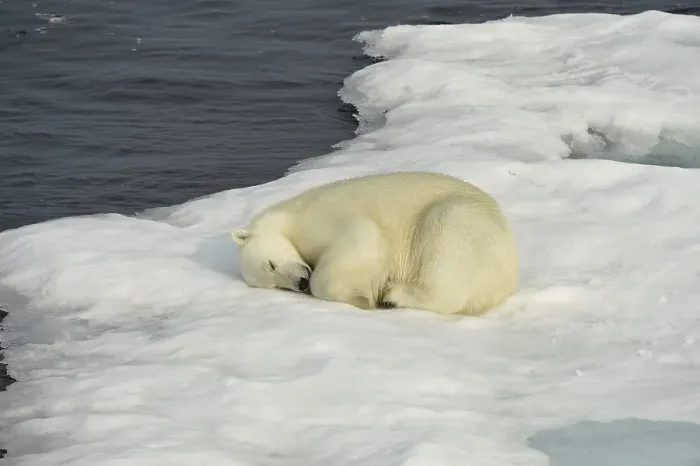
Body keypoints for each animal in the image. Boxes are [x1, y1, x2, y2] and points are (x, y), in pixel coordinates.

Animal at [231, 171, 519, 315]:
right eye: (276, 286)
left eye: (270, 264)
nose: (300, 283)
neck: (290, 216)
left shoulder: (326, 217)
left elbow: (362, 239)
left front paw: (363, 298)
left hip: (462, 222)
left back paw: (394, 296)